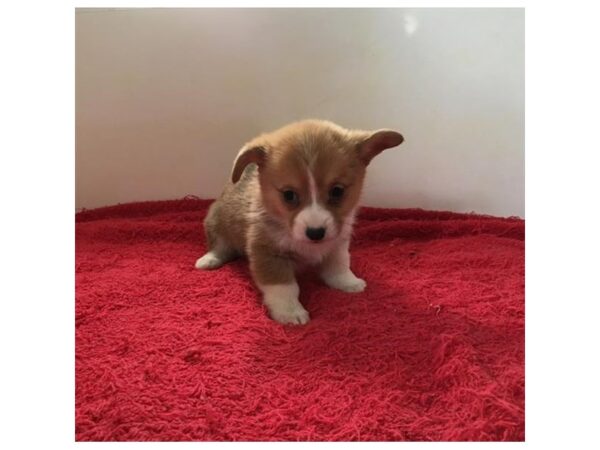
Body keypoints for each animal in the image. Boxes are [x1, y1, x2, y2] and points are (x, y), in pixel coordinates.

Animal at [196, 119, 404, 324]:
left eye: (337, 191)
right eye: (289, 195)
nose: (315, 233)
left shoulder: (338, 243)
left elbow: (339, 265)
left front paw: (348, 282)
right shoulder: (268, 253)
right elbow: (284, 287)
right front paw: (290, 312)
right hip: (215, 221)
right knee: (220, 246)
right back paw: (209, 260)